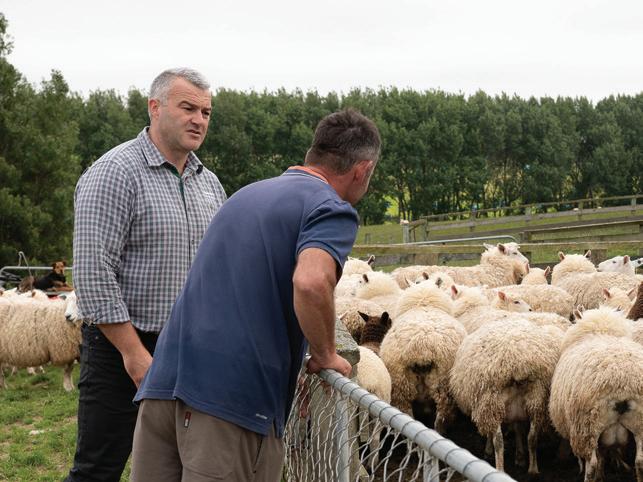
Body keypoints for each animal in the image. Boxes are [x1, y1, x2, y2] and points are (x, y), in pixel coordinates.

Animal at [450, 318, 564, 475]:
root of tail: (518, 365)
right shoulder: (517, 411)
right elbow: (519, 430)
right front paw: (520, 457)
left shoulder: (486, 405)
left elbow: (493, 434)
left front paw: (488, 451)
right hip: (537, 400)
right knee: (532, 437)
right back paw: (533, 469)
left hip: (492, 402)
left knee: (499, 440)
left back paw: (499, 469)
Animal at [549, 307, 643, 482]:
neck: (601, 331)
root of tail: (622, 384)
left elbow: (598, 459)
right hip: (639, 424)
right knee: (640, 462)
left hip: (586, 427)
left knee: (591, 463)